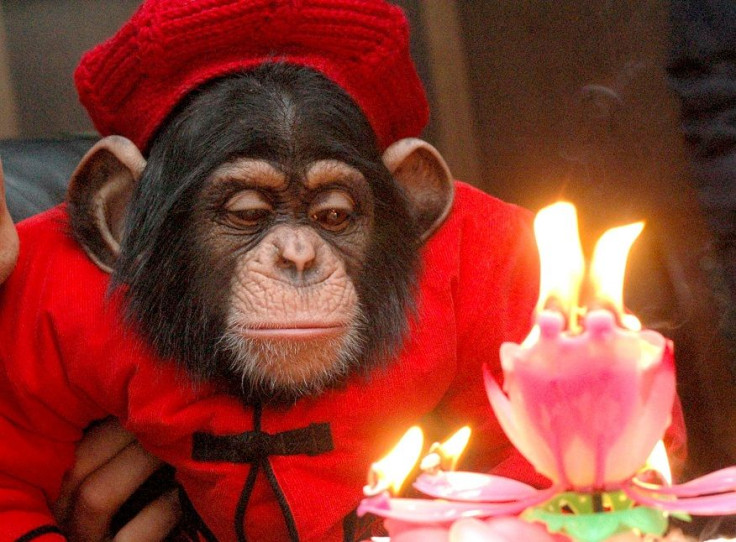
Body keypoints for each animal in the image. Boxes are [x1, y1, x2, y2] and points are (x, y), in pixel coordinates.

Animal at [0, 1, 548, 542]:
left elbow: (520, 451)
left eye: (334, 214)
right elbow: (16, 474)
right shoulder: (49, 305)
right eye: (247, 213)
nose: (298, 257)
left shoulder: (489, 263)